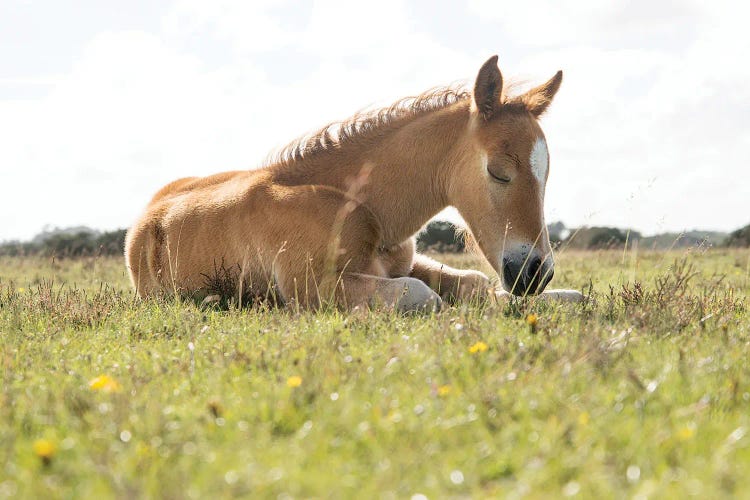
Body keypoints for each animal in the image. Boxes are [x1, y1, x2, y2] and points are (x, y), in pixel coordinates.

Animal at [125, 56, 568, 310]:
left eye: (547, 174)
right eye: (498, 171)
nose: (536, 274)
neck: (359, 205)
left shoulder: (406, 262)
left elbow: (475, 284)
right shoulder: (308, 287)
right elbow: (424, 295)